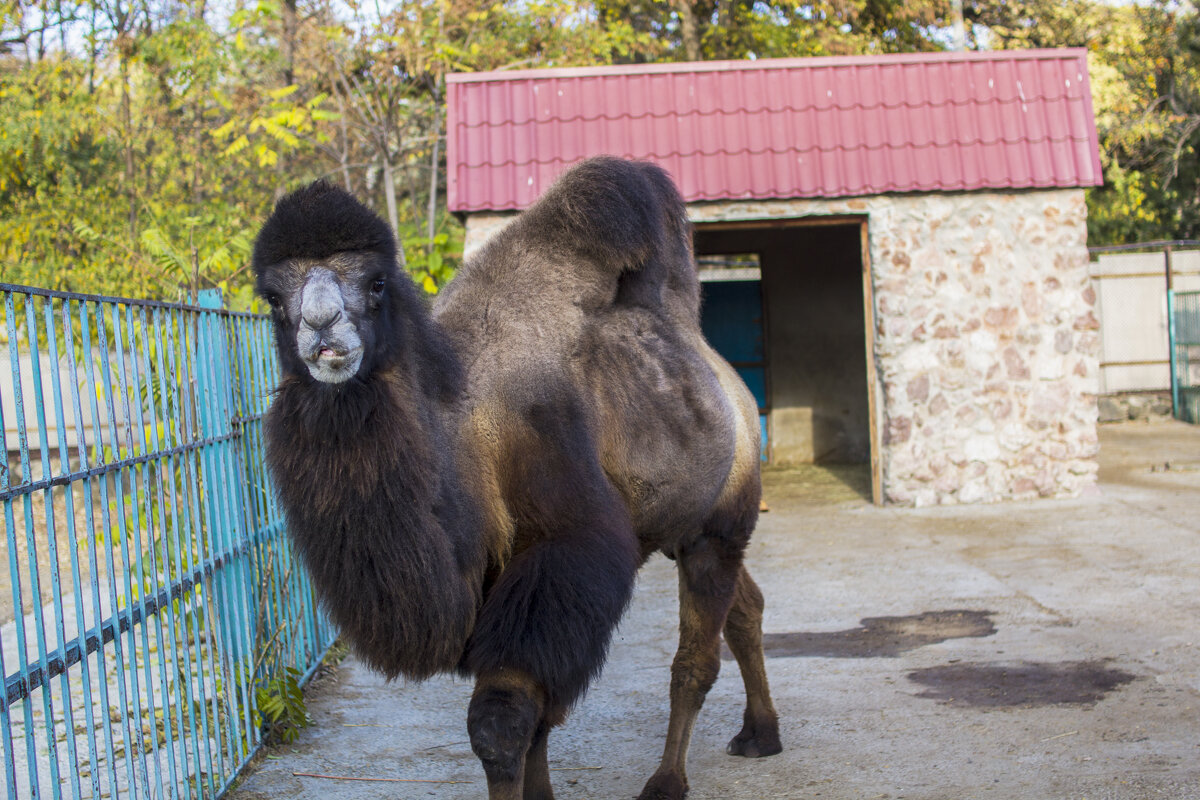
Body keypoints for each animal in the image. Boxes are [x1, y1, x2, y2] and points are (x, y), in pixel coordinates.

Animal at [250, 155, 777, 800]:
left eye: (375, 283)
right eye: (274, 297)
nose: (322, 327)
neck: (466, 430)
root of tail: (730, 385)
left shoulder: (562, 553)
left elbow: (501, 724)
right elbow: (540, 719)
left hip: (717, 524)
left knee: (694, 661)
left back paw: (667, 780)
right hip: (681, 526)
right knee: (744, 607)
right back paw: (760, 735)